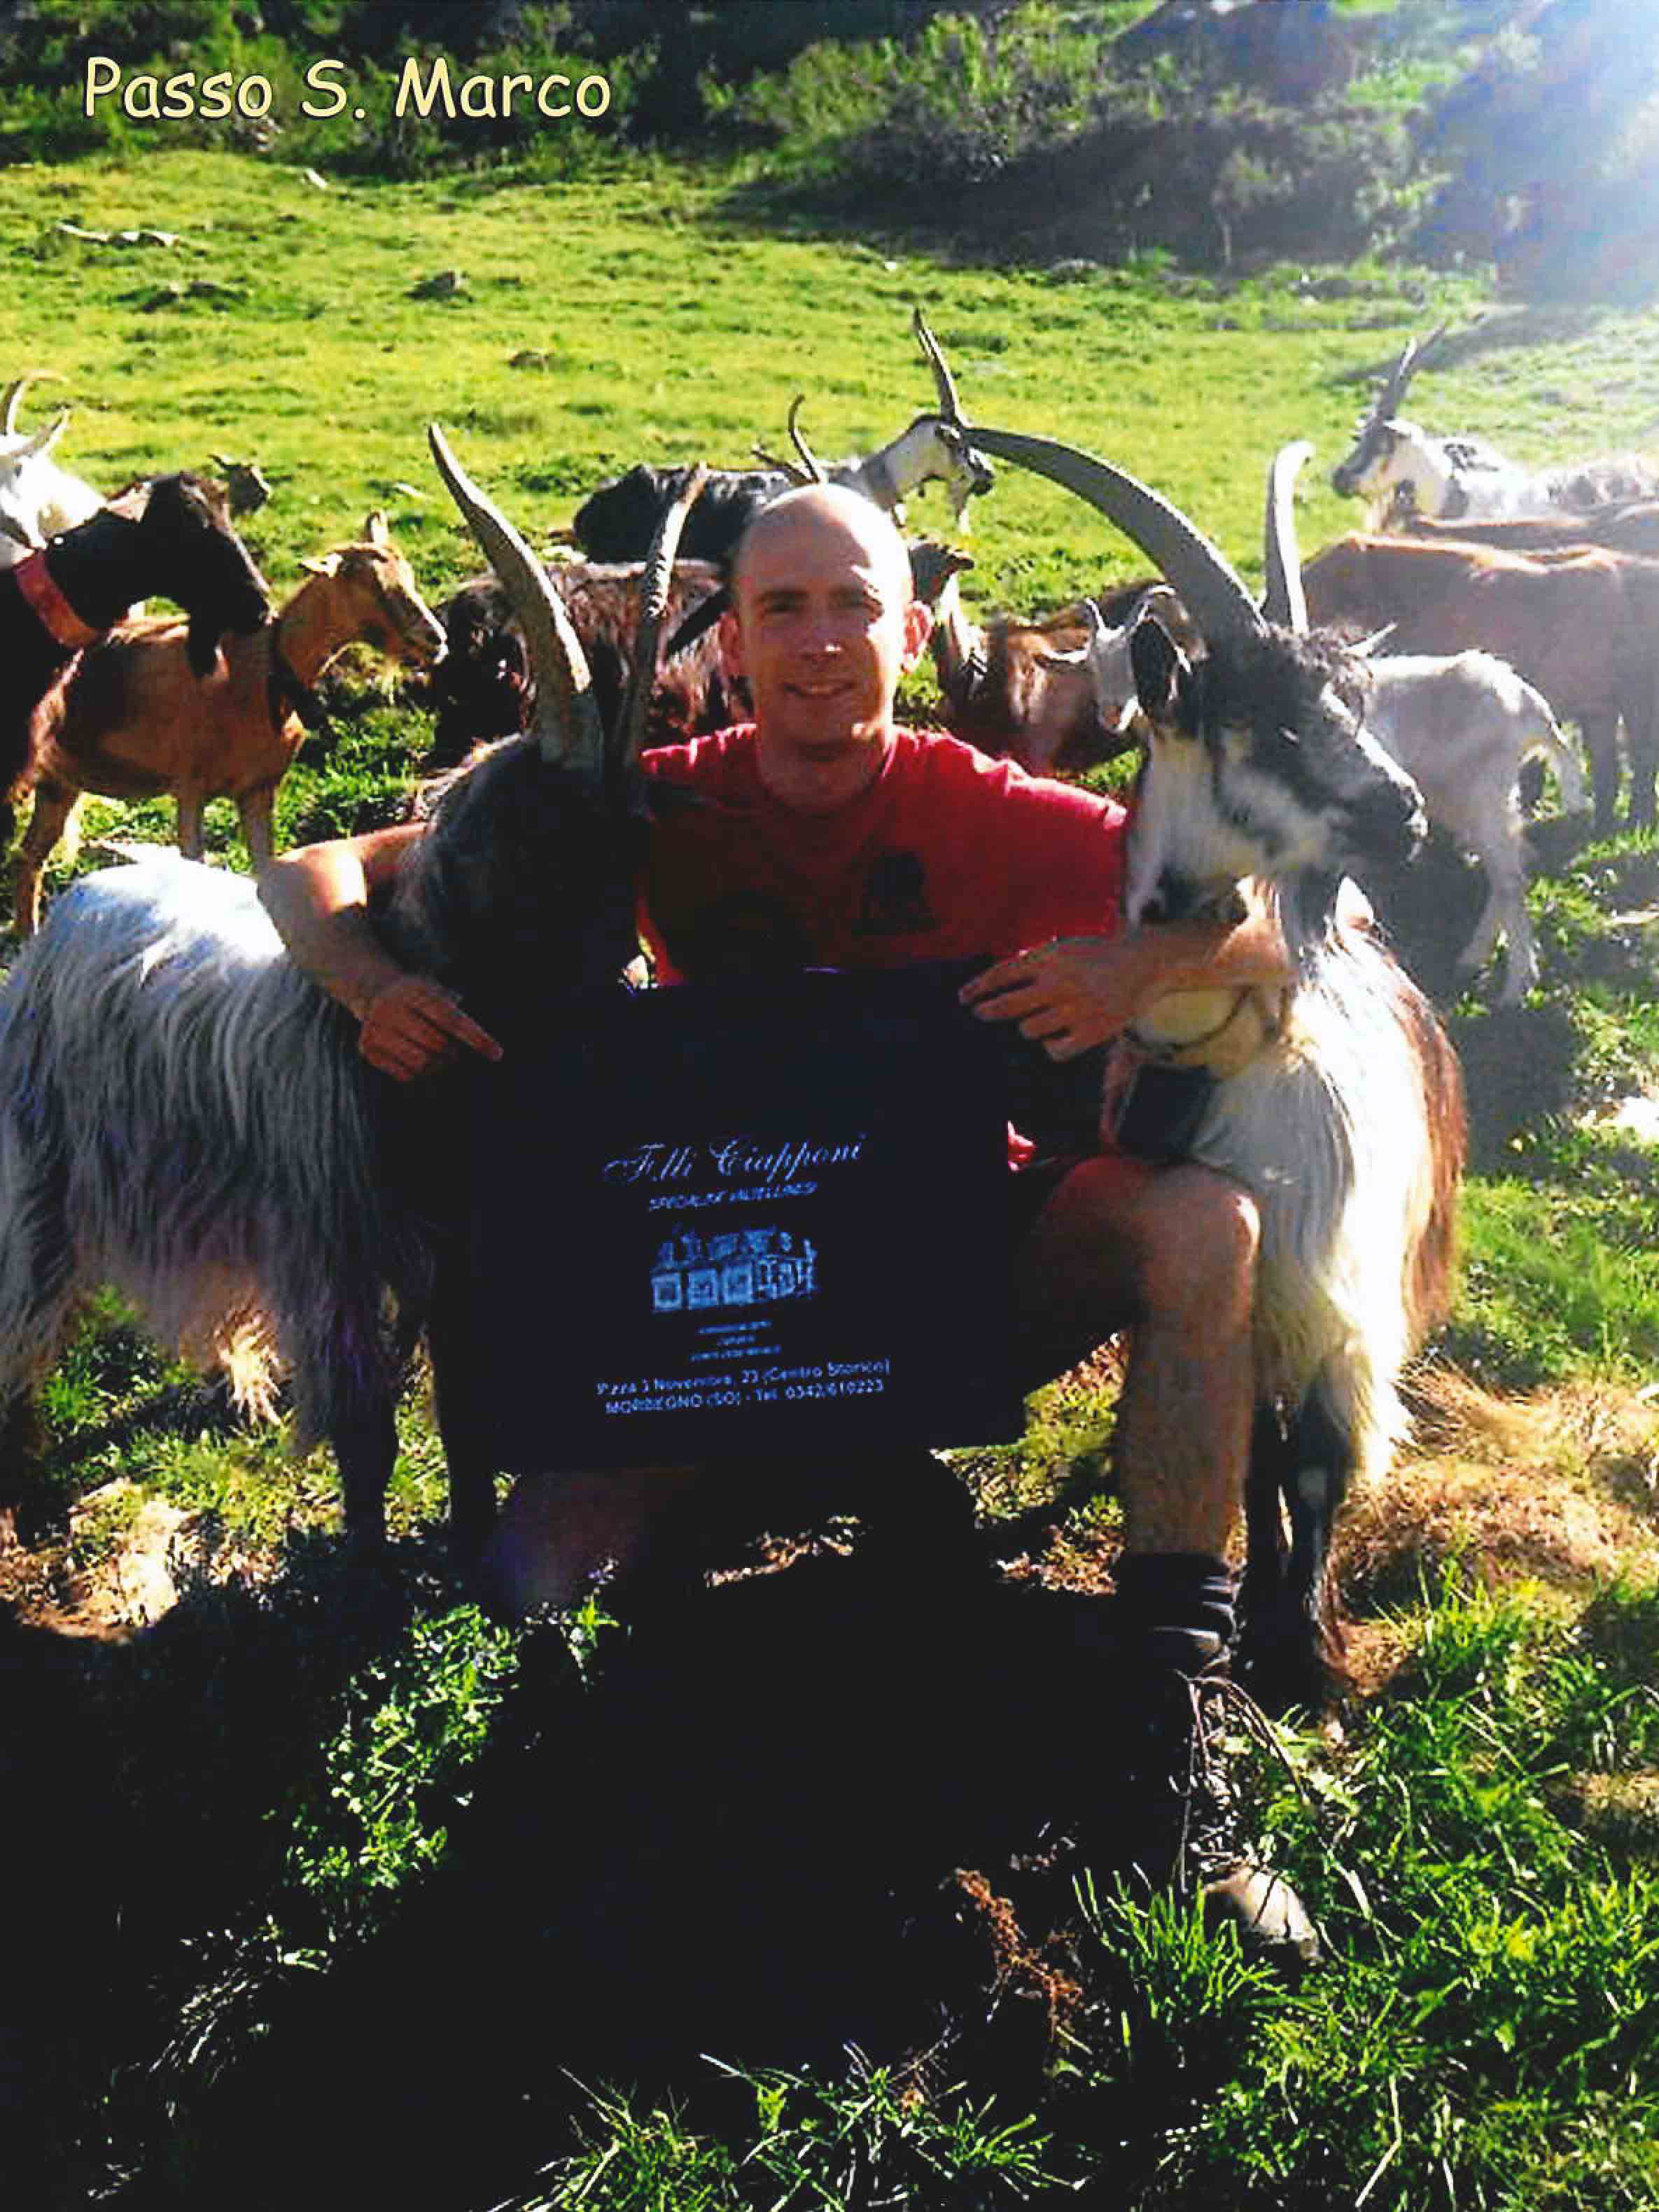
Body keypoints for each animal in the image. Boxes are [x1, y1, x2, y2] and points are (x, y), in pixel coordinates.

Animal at [12, 512, 446, 935]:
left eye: (409, 574)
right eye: (371, 586)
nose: (436, 639)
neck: (258, 669)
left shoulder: (258, 789)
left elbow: (264, 867)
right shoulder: (190, 786)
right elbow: (194, 863)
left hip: (59, 783)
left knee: (29, 856)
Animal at [957, 422, 1466, 1712]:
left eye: (1353, 701)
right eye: (1268, 720)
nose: (1404, 815)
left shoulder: (1335, 1304)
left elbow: (1318, 1464)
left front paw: (1305, 1655)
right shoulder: (1257, 1304)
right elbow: (1251, 1460)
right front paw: (1261, 1627)